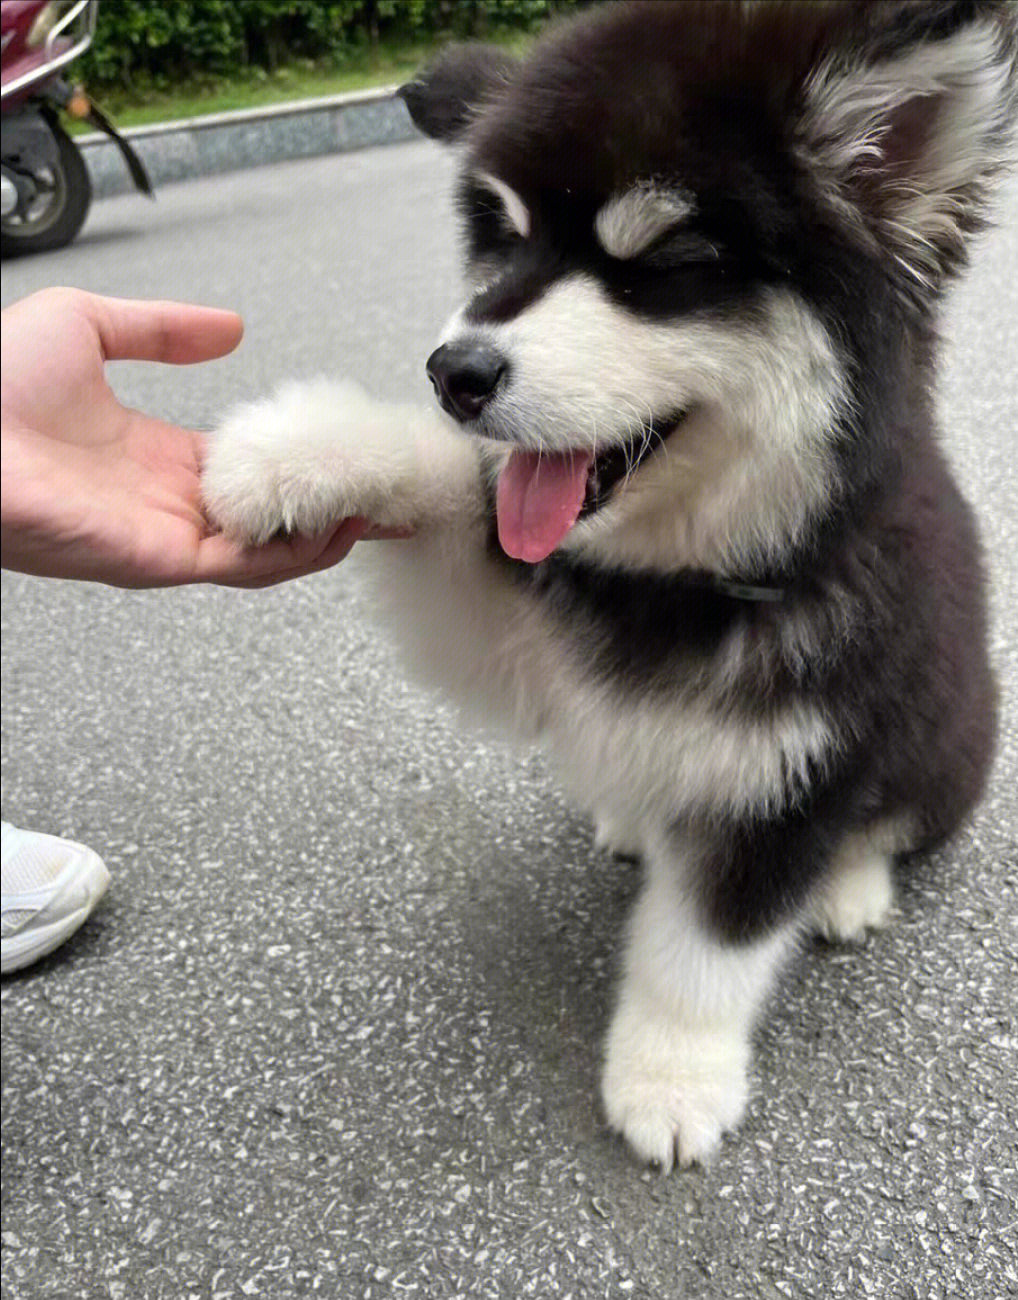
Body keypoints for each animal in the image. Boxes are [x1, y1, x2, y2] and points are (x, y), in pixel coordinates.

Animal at [202, 0, 1014, 1175]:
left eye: (662, 259)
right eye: (503, 237)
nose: (453, 372)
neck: (683, 576)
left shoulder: (787, 772)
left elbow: (706, 947)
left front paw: (671, 1078)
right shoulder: (514, 635)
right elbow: (452, 485)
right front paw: (295, 453)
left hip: (947, 738)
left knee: (887, 823)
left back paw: (848, 887)